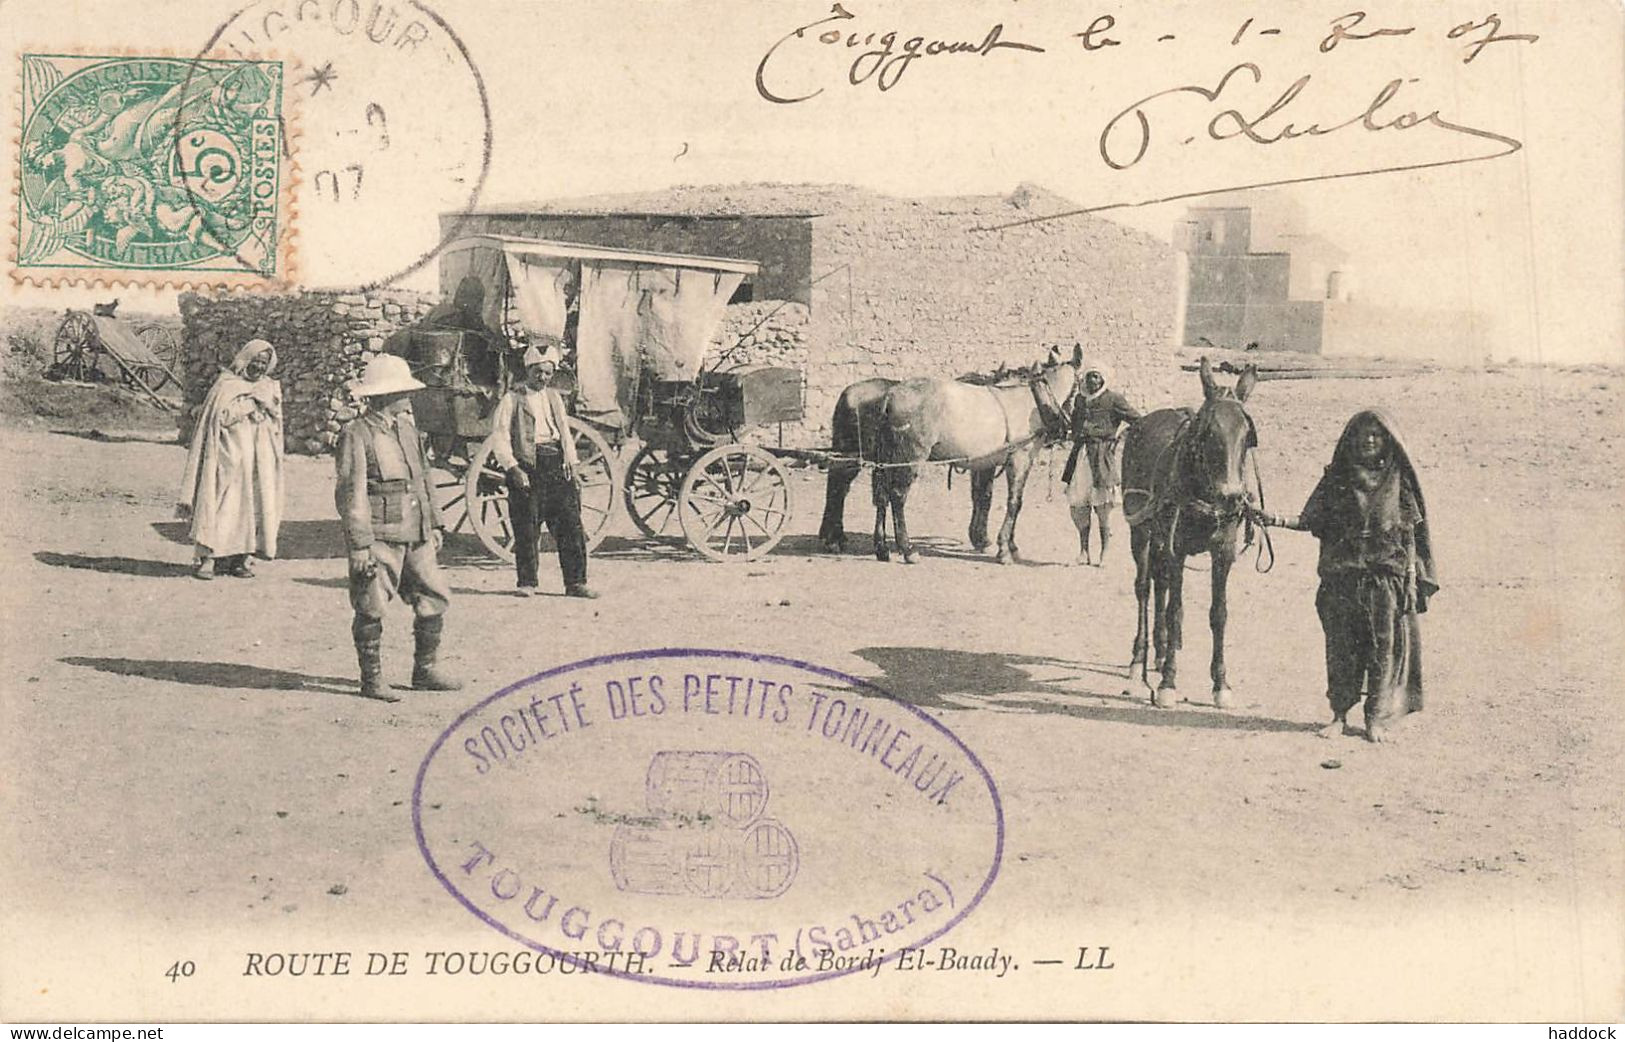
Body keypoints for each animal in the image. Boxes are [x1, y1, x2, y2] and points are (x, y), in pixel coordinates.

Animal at [871, 344, 1085, 565]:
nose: (1064, 431)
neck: (1035, 399)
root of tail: (891, 394)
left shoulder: (988, 463)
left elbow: (987, 497)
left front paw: (1007, 545)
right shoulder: (1020, 459)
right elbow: (1014, 502)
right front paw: (1004, 549)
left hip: (888, 458)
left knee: (882, 494)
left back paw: (882, 547)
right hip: (909, 457)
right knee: (898, 496)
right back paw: (907, 549)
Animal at [1124, 356, 1261, 708]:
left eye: (1247, 434)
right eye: (1208, 431)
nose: (1231, 495)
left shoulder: (1223, 552)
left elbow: (1219, 613)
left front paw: (1221, 683)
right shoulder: (1178, 548)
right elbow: (1176, 612)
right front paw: (1169, 683)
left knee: (1160, 583)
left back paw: (1160, 653)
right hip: (1140, 532)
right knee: (1144, 588)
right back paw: (1138, 662)